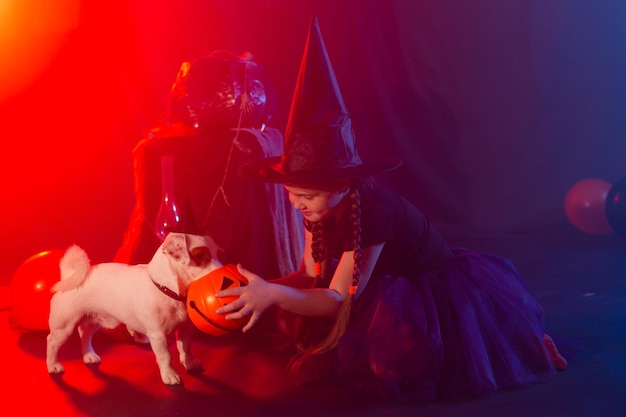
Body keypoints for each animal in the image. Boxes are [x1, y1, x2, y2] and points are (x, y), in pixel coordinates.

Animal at [46, 231, 222, 384]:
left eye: (217, 253)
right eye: (201, 256)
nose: (222, 269)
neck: (167, 290)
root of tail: (68, 276)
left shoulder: (185, 328)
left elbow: (185, 347)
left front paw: (189, 362)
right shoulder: (158, 335)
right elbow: (165, 356)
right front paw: (169, 375)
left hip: (96, 321)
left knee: (84, 334)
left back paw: (88, 354)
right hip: (63, 327)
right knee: (52, 342)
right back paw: (53, 365)